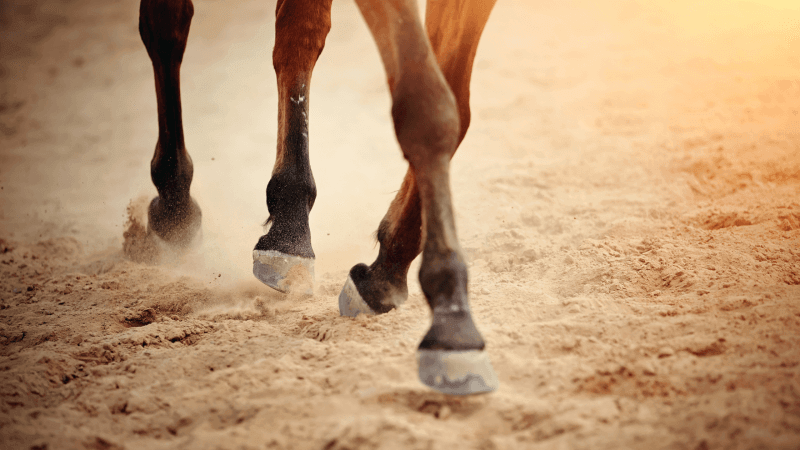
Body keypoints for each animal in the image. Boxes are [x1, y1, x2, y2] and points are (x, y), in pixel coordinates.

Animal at [137, 0, 498, 395]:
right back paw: (179, 205)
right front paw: (453, 325)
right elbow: (426, 110)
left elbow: (455, 108)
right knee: (168, 24)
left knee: (297, 33)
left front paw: (385, 272)